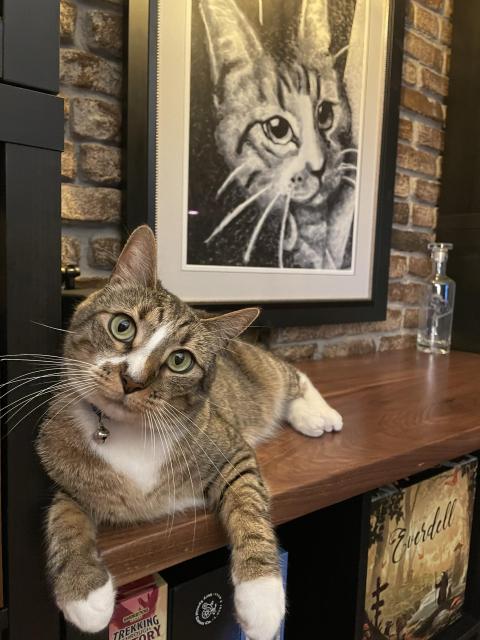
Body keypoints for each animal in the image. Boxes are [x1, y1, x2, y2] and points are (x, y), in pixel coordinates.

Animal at [35, 228, 344, 636]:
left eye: (180, 360)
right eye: (122, 325)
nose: (131, 380)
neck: (127, 430)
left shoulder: (232, 451)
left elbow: (248, 504)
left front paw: (261, 597)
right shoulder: (66, 474)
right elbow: (65, 516)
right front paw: (84, 594)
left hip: (264, 371)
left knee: (294, 374)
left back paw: (319, 414)